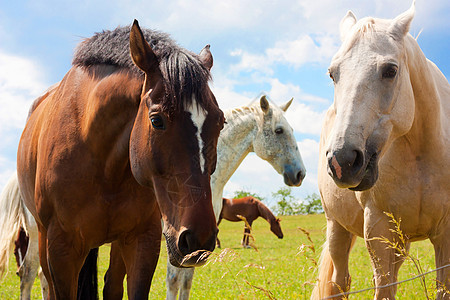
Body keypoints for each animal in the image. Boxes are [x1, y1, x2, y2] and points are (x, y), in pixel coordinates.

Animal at [17, 19, 225, 298]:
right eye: (156, 121)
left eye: (220, 122)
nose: (199, 238)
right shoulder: (61, 249)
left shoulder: (143, 241)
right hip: (41, 236)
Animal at [314, 2, 450, 300]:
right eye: (332, 73)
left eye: (390, 70)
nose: (342, 160)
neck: (421, 156)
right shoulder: (379, 231)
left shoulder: (445, 235)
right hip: (337, 228)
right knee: (340, 282)